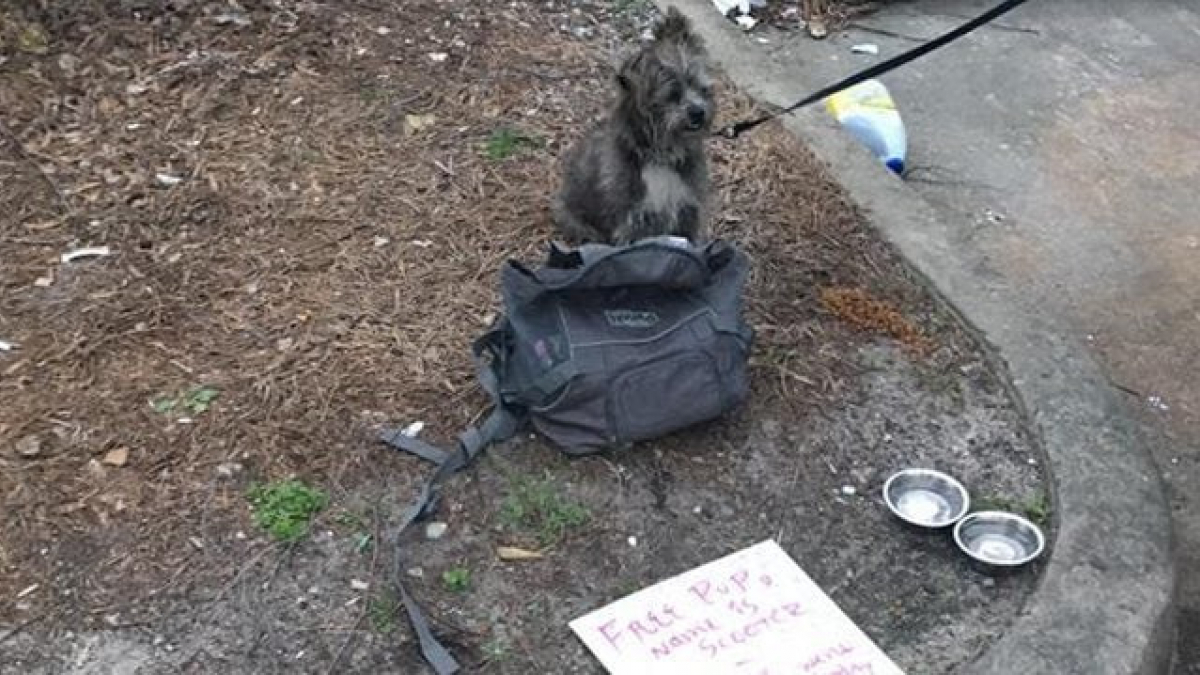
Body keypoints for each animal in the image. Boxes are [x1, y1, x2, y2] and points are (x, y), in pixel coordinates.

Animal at [552, 7, 710, 243]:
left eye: (702, 88)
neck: (660, 159)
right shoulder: (632, 223)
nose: (699, 113)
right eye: (672, 94)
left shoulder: (686, 212)